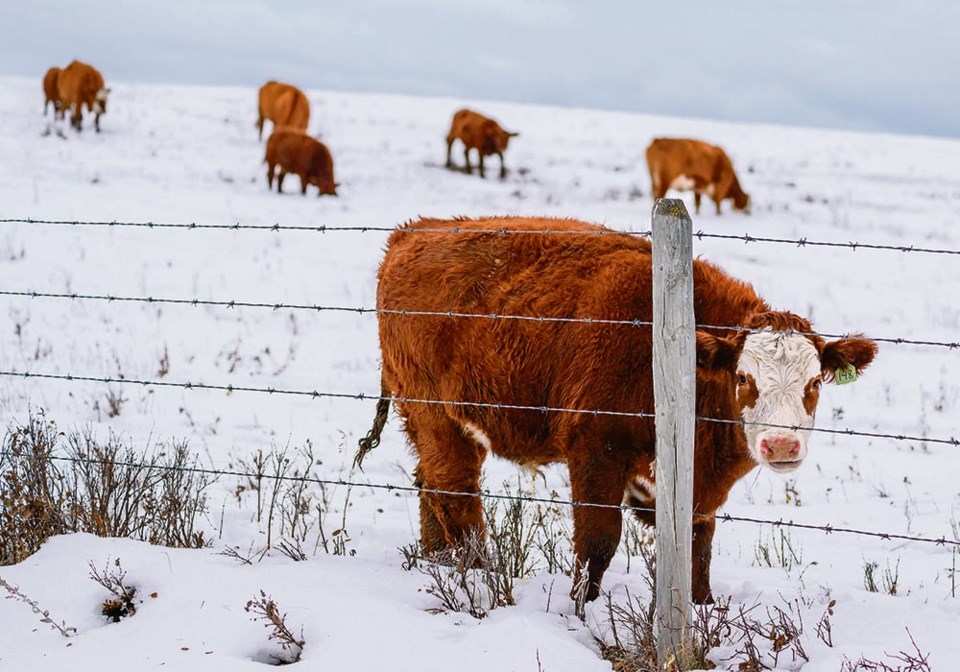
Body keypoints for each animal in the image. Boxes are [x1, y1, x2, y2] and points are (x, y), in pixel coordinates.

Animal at [358, 215, 876, 604]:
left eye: (815, 382)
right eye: (744, 378)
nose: (781, 443)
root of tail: (414, 231)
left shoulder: (690, 493)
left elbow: (698, 554)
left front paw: (704, 612)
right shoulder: (595, 448)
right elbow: (598, 544)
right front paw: (580, 614)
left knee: (430, 485)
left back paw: (438, 564)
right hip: (434, 415)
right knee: (456, 495)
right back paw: (480, 579)